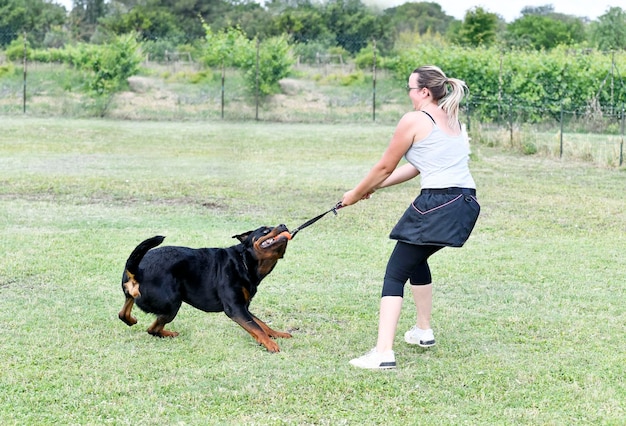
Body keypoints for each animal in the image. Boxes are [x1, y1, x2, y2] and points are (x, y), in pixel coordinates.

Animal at [116, 226, 290, 352]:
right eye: (265, 230)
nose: (283, 225)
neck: (245, 262)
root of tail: (138, 271)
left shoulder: (243, 307)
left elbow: (261, 324)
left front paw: (277, 334)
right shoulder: (235, 308)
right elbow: (256, 327)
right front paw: (271, 344)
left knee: (123, 314)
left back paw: (134, 321)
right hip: (172, 304)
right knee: (152, 329)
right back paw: (169, 333)